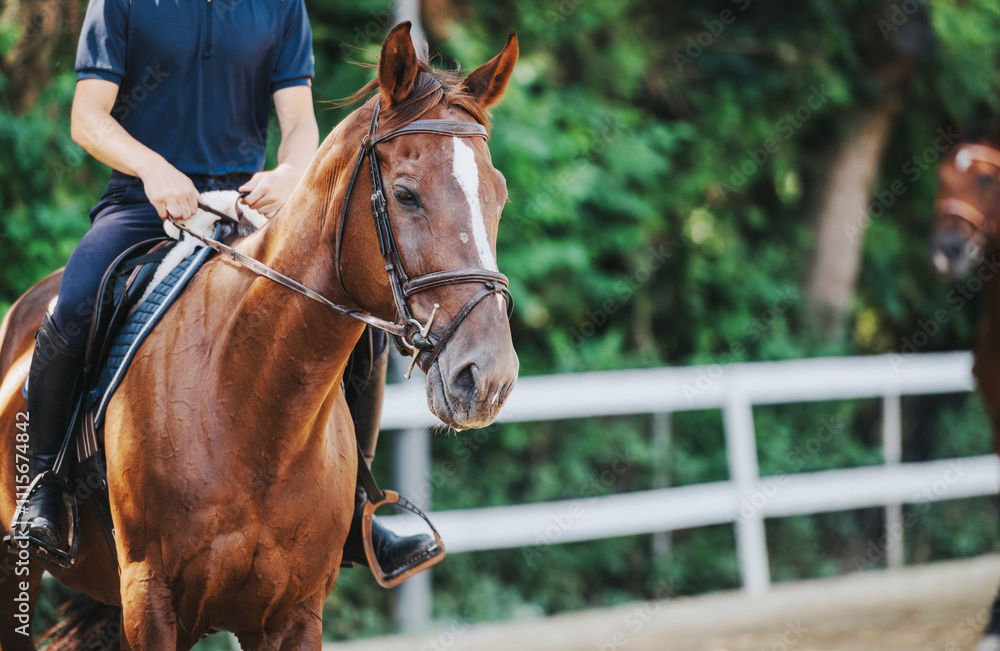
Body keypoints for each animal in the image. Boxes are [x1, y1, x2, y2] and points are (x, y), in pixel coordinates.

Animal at [0, 21, 519, 650]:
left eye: (499, 195)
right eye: (405, 193)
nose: (487, 378)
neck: (252, 402)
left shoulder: (292, 615)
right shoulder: (149, 599)